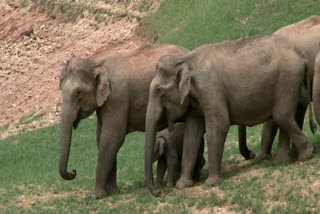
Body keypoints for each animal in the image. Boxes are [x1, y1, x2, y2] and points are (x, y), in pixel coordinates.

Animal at [58, 42, 189, 198]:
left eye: (78, 93)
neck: (97, 63)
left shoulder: (117, 97)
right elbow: (101, 137)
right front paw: (112, 192)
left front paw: (95, 195)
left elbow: (112, 137)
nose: (73, 171)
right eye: (60, 89)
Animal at [146, 33, 316, 196]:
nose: (159, 192)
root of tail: (298, 52)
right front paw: (182, 186)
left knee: (282, 115)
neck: (186, 60)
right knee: (284, 116)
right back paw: (282, 161)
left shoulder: (210, 89)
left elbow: (219, 124)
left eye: (158, 90)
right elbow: (192, 133)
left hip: (288, 79)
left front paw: (211, 183)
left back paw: (305, 155)